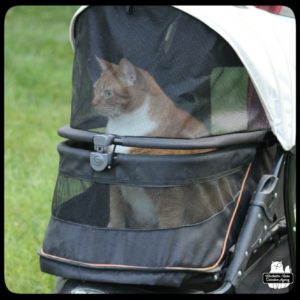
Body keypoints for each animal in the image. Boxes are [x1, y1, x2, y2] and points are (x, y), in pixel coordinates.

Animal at [91, 57, 223, 229]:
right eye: (94, 89)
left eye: (108, 93)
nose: (93, 103)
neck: (125, 125)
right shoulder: (115, 184)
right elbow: (115, 213)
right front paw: (113, 228)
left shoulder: (168, 194)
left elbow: (168, 222)